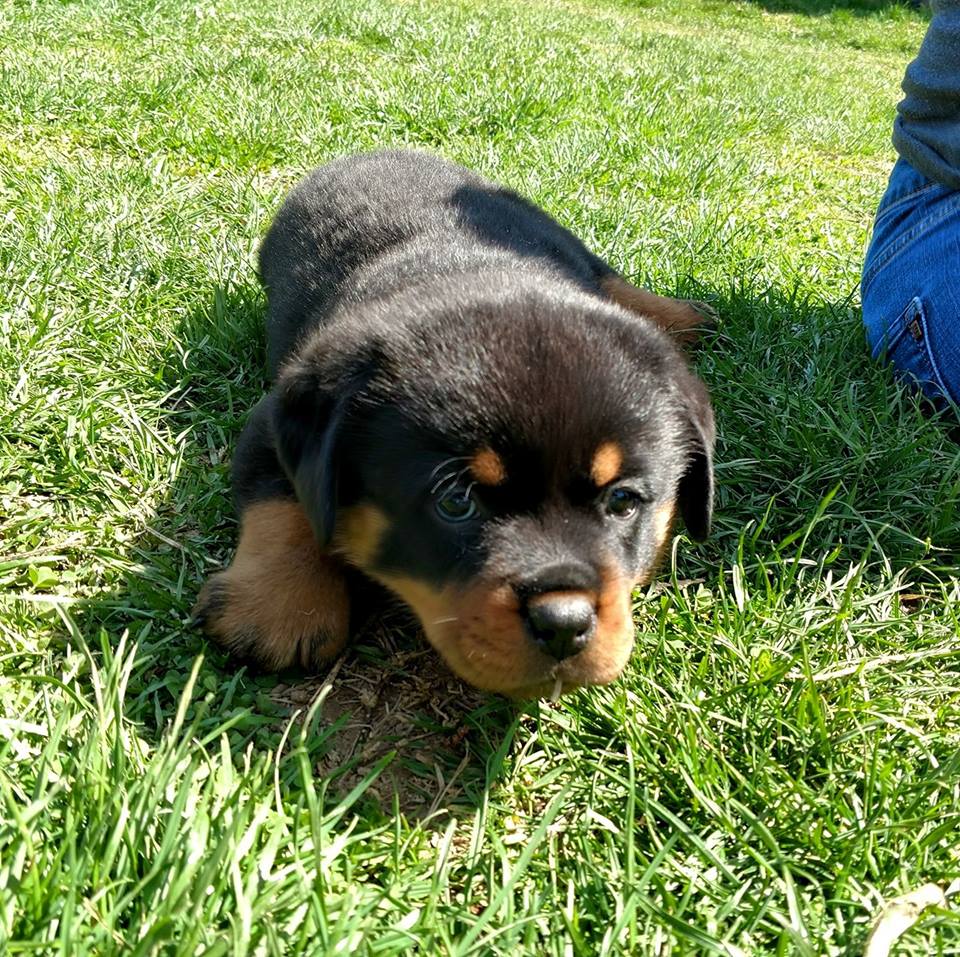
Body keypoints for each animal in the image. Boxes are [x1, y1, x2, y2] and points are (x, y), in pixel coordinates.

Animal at [195, 151, 712, 704]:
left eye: (622, 501)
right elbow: (285, 501)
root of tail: (376, 152)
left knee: (606, 273)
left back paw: (682, 317)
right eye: (456, 502)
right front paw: (278, 608)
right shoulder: (274, 419)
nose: (563, 623)